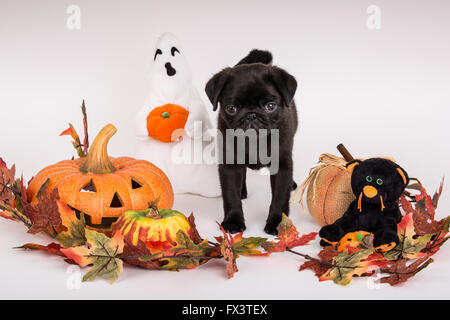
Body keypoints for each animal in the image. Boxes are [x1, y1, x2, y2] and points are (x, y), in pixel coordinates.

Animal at [205, 50, 298, 235]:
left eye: (270, 106)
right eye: (231, 109)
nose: (251, 115)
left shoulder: (282, 165)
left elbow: (280, 197)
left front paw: (277, 223)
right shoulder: (229, 165)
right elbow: (231, 195)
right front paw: (233, 221)